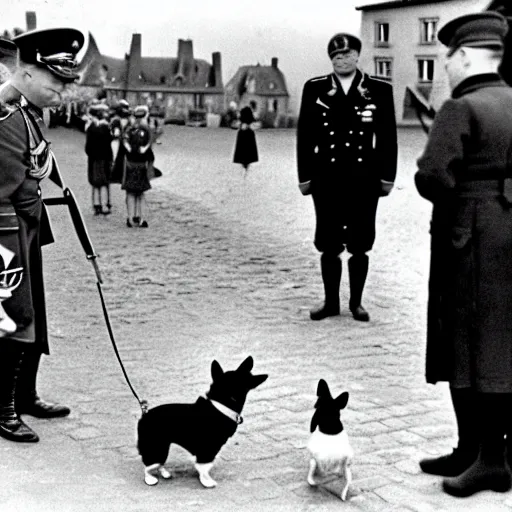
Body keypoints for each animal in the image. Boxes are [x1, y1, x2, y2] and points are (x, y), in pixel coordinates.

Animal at [136, 356, 268, 488]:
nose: (250, 358)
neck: (221, 405)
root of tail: (144, 415)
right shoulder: (208, 449)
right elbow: (204, 466)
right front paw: (206, 481)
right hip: (156, 447)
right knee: (148, 466)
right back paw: (150, 479)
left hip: (163, 448)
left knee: (158, 463)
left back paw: (164, 473)